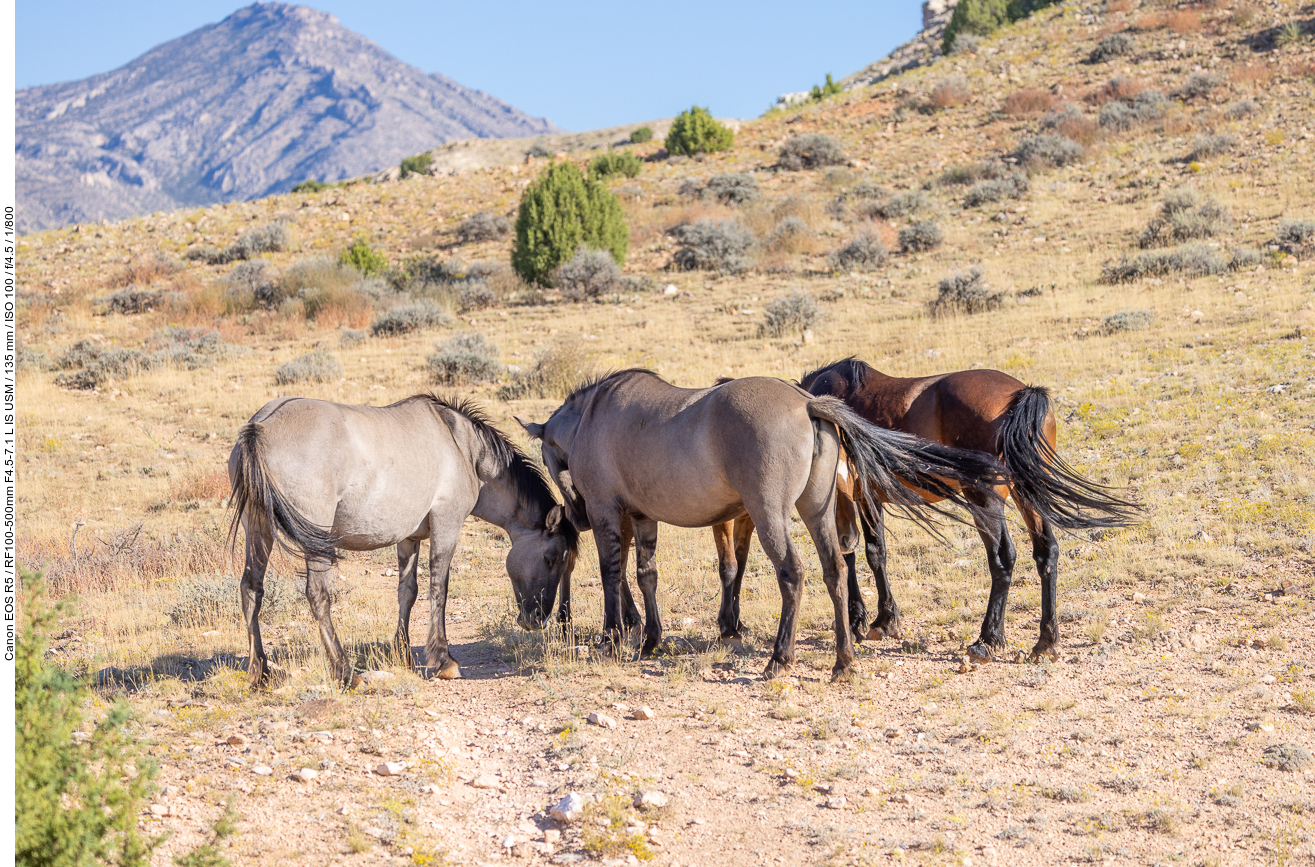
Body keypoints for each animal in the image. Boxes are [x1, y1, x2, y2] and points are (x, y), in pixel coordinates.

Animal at [228, 394, 578, 689]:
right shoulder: (447, 525)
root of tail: (261, 427)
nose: (537, 620)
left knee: (251, 589)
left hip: (258, 528)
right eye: (551, 558)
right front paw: (444, 661)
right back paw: (345, 671)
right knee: (317, 595)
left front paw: (403, 654)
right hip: (314, 538)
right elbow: (439, 588)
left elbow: (407, 592)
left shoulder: (409, 538)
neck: (463, 449)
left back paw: (259, 671)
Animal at [518, 371, 999, 684]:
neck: (594, 417)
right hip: (816, 512)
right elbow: (646, 575)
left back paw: (780, 659)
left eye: (546, 457)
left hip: (770, 516)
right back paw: (843, 661)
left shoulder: (607, 514)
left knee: (793, 574)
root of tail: (806, 402)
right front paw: (651, 640)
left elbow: (610, 574)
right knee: (835, 570)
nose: (574, 516)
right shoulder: (641, 517)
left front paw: (612, 638)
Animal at [789, 360, 1141, 665]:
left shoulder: (858, 495)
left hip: (984, 499)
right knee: (1047, 553)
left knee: (1003, 558)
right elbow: (861, 552)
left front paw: (874, 620)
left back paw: (987, 640)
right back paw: (1046, 642)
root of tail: (1021, 394)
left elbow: (866, 552)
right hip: (1026, 495)